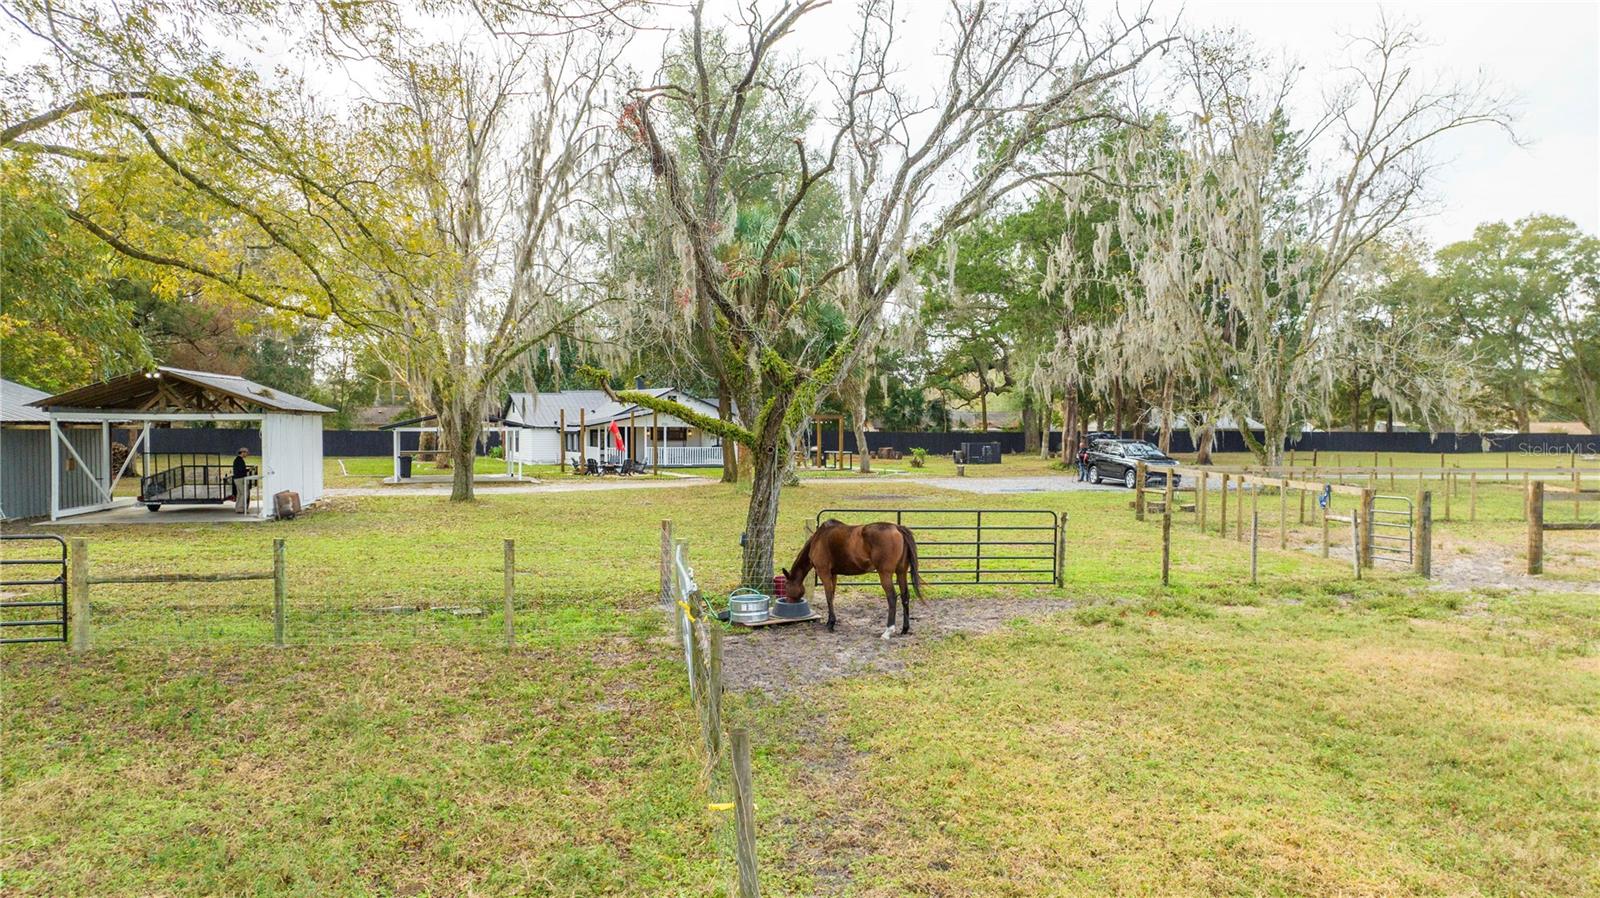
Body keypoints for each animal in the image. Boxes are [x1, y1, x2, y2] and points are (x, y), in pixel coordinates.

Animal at [777, 518, 928, 637]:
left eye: (786, 586)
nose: (789, 602)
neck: (818, 538)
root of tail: (897, 528)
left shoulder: (823, 572)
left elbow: (828, 596)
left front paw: (831, 624)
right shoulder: (833, 574)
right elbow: (831, 596)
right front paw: (830, 621)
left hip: (885, 574)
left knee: (892, 597)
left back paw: (888, 631)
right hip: (901, 572)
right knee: (905, 596)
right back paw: (905, 629)